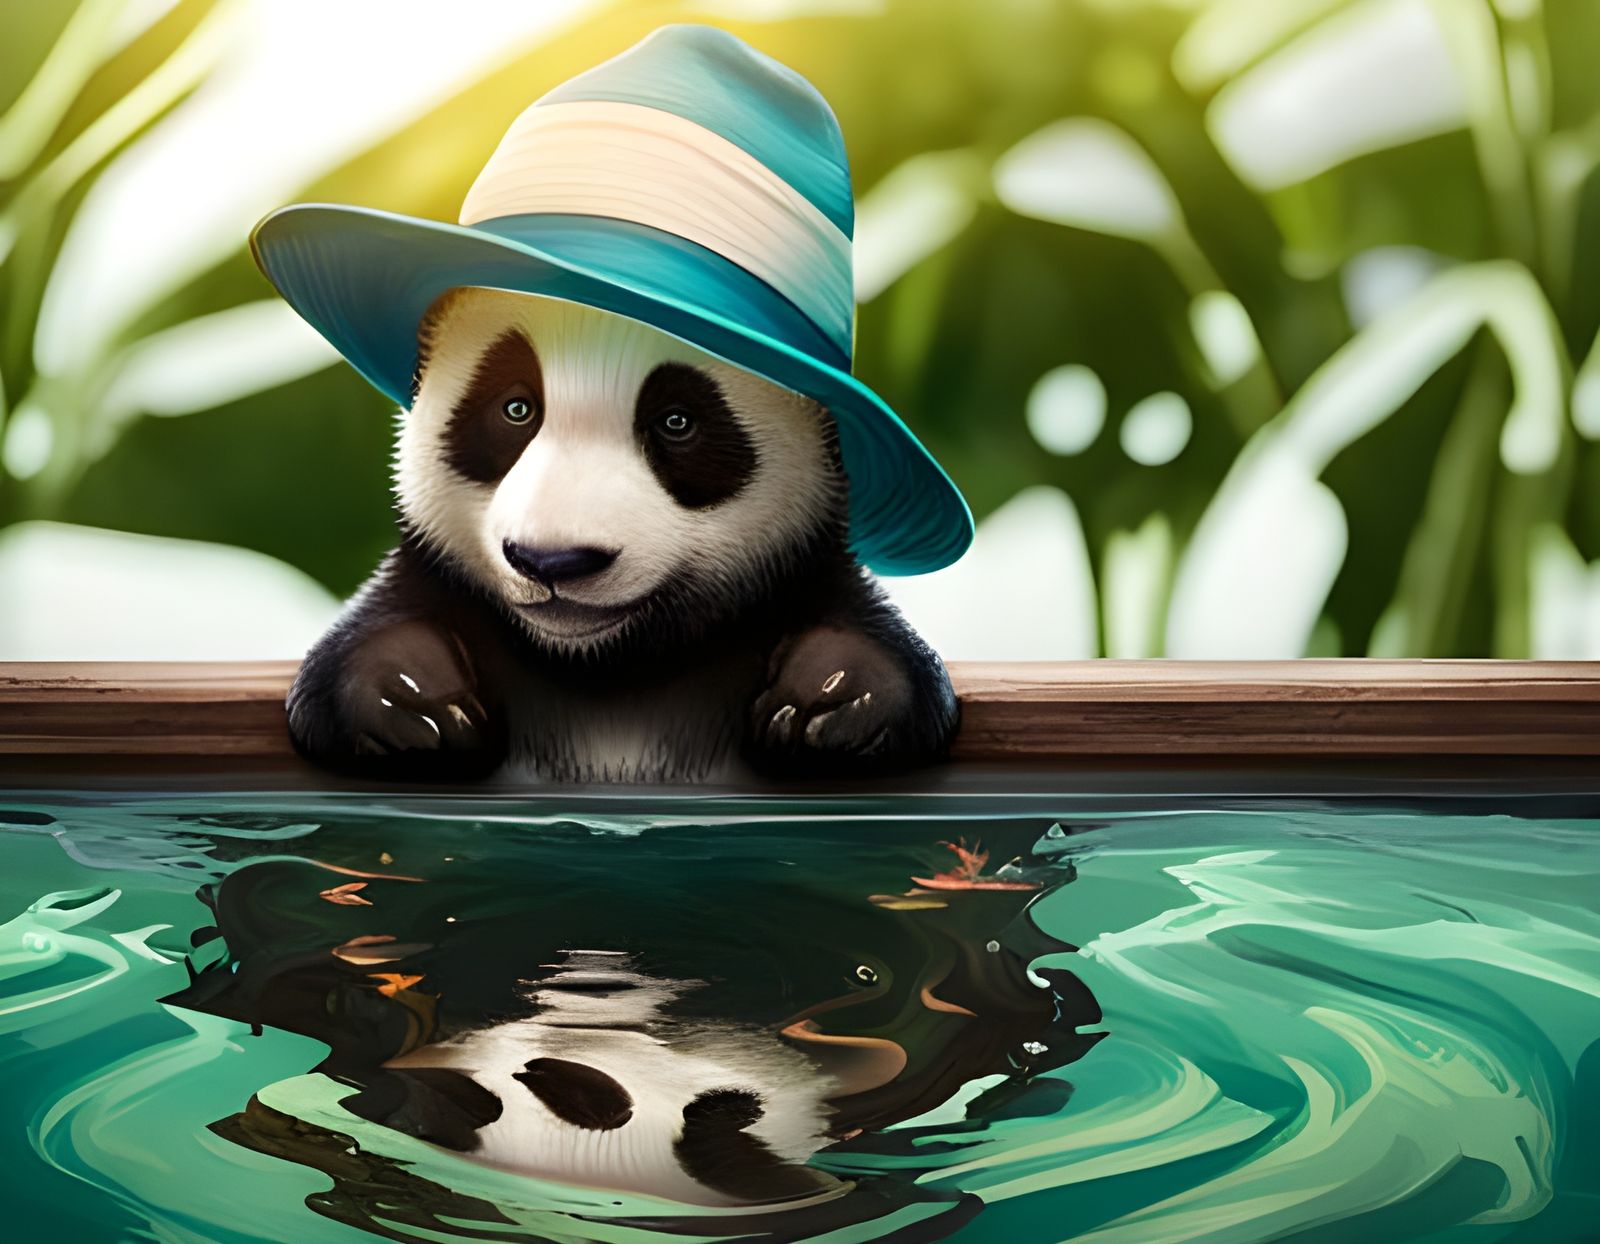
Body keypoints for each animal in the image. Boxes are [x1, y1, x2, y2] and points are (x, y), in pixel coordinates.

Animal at [287, 287, 957, 783]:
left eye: (677, 422)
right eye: (516, 409)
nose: (553, 562)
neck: (609, 665)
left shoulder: (796, 576)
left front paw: (831, 697)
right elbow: (355, 657)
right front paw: (409, 697)